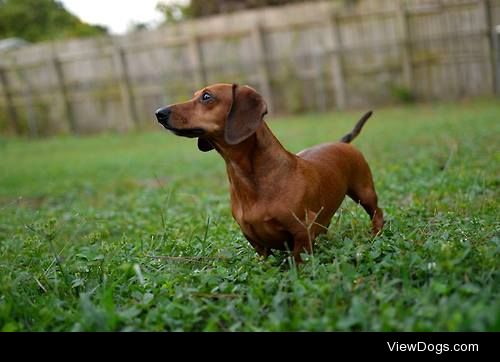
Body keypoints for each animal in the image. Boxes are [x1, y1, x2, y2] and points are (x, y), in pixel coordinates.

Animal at [154, 84, 384, 264]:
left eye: (206, 96)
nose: (159, 113)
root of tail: (341, 142)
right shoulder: (253, 238)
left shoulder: (302, 230)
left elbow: (299, 259)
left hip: (364, 192)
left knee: (377, 213)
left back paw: (376, 235)